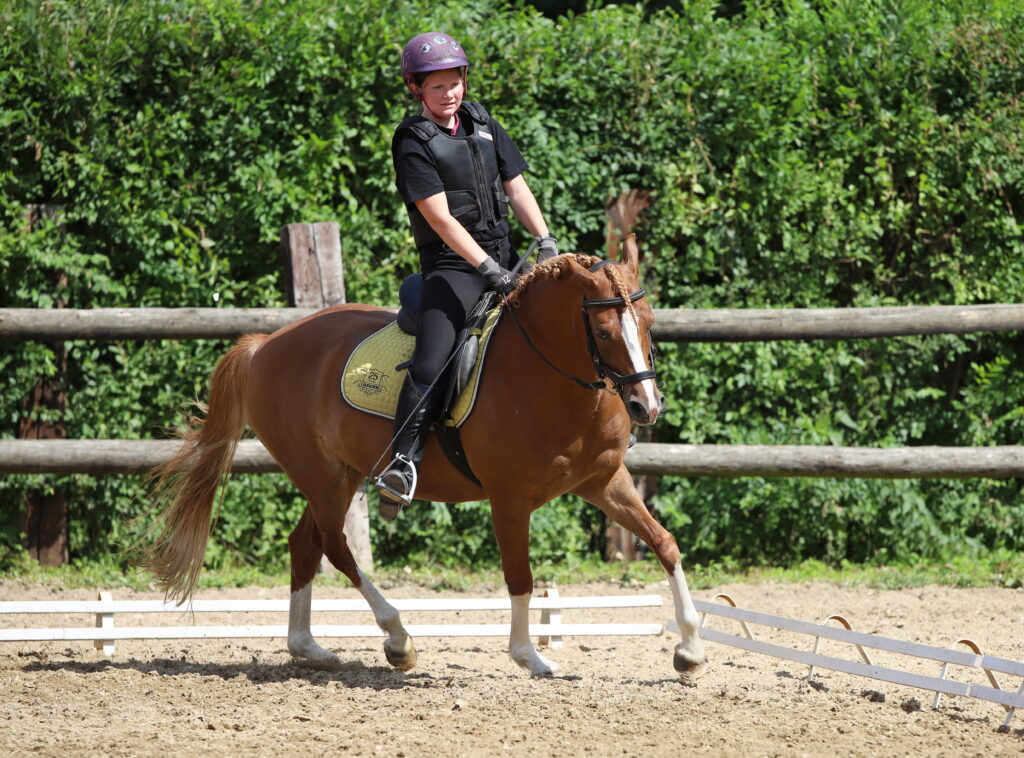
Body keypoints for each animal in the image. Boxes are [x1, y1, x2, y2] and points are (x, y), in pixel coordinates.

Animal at [142, 235, 704, 680]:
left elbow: (666, 543)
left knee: (306, 544)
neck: (550, 375)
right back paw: (397, 638)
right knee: (334, 546)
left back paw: (309, 648)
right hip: (323, 477)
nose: (646, 406)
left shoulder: (604, 481)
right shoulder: (509, 499)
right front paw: (530, 657)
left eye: (649, 322)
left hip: (341, 474)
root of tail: (265, 343)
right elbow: (519, 576)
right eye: (604, 332)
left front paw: (691, 650)